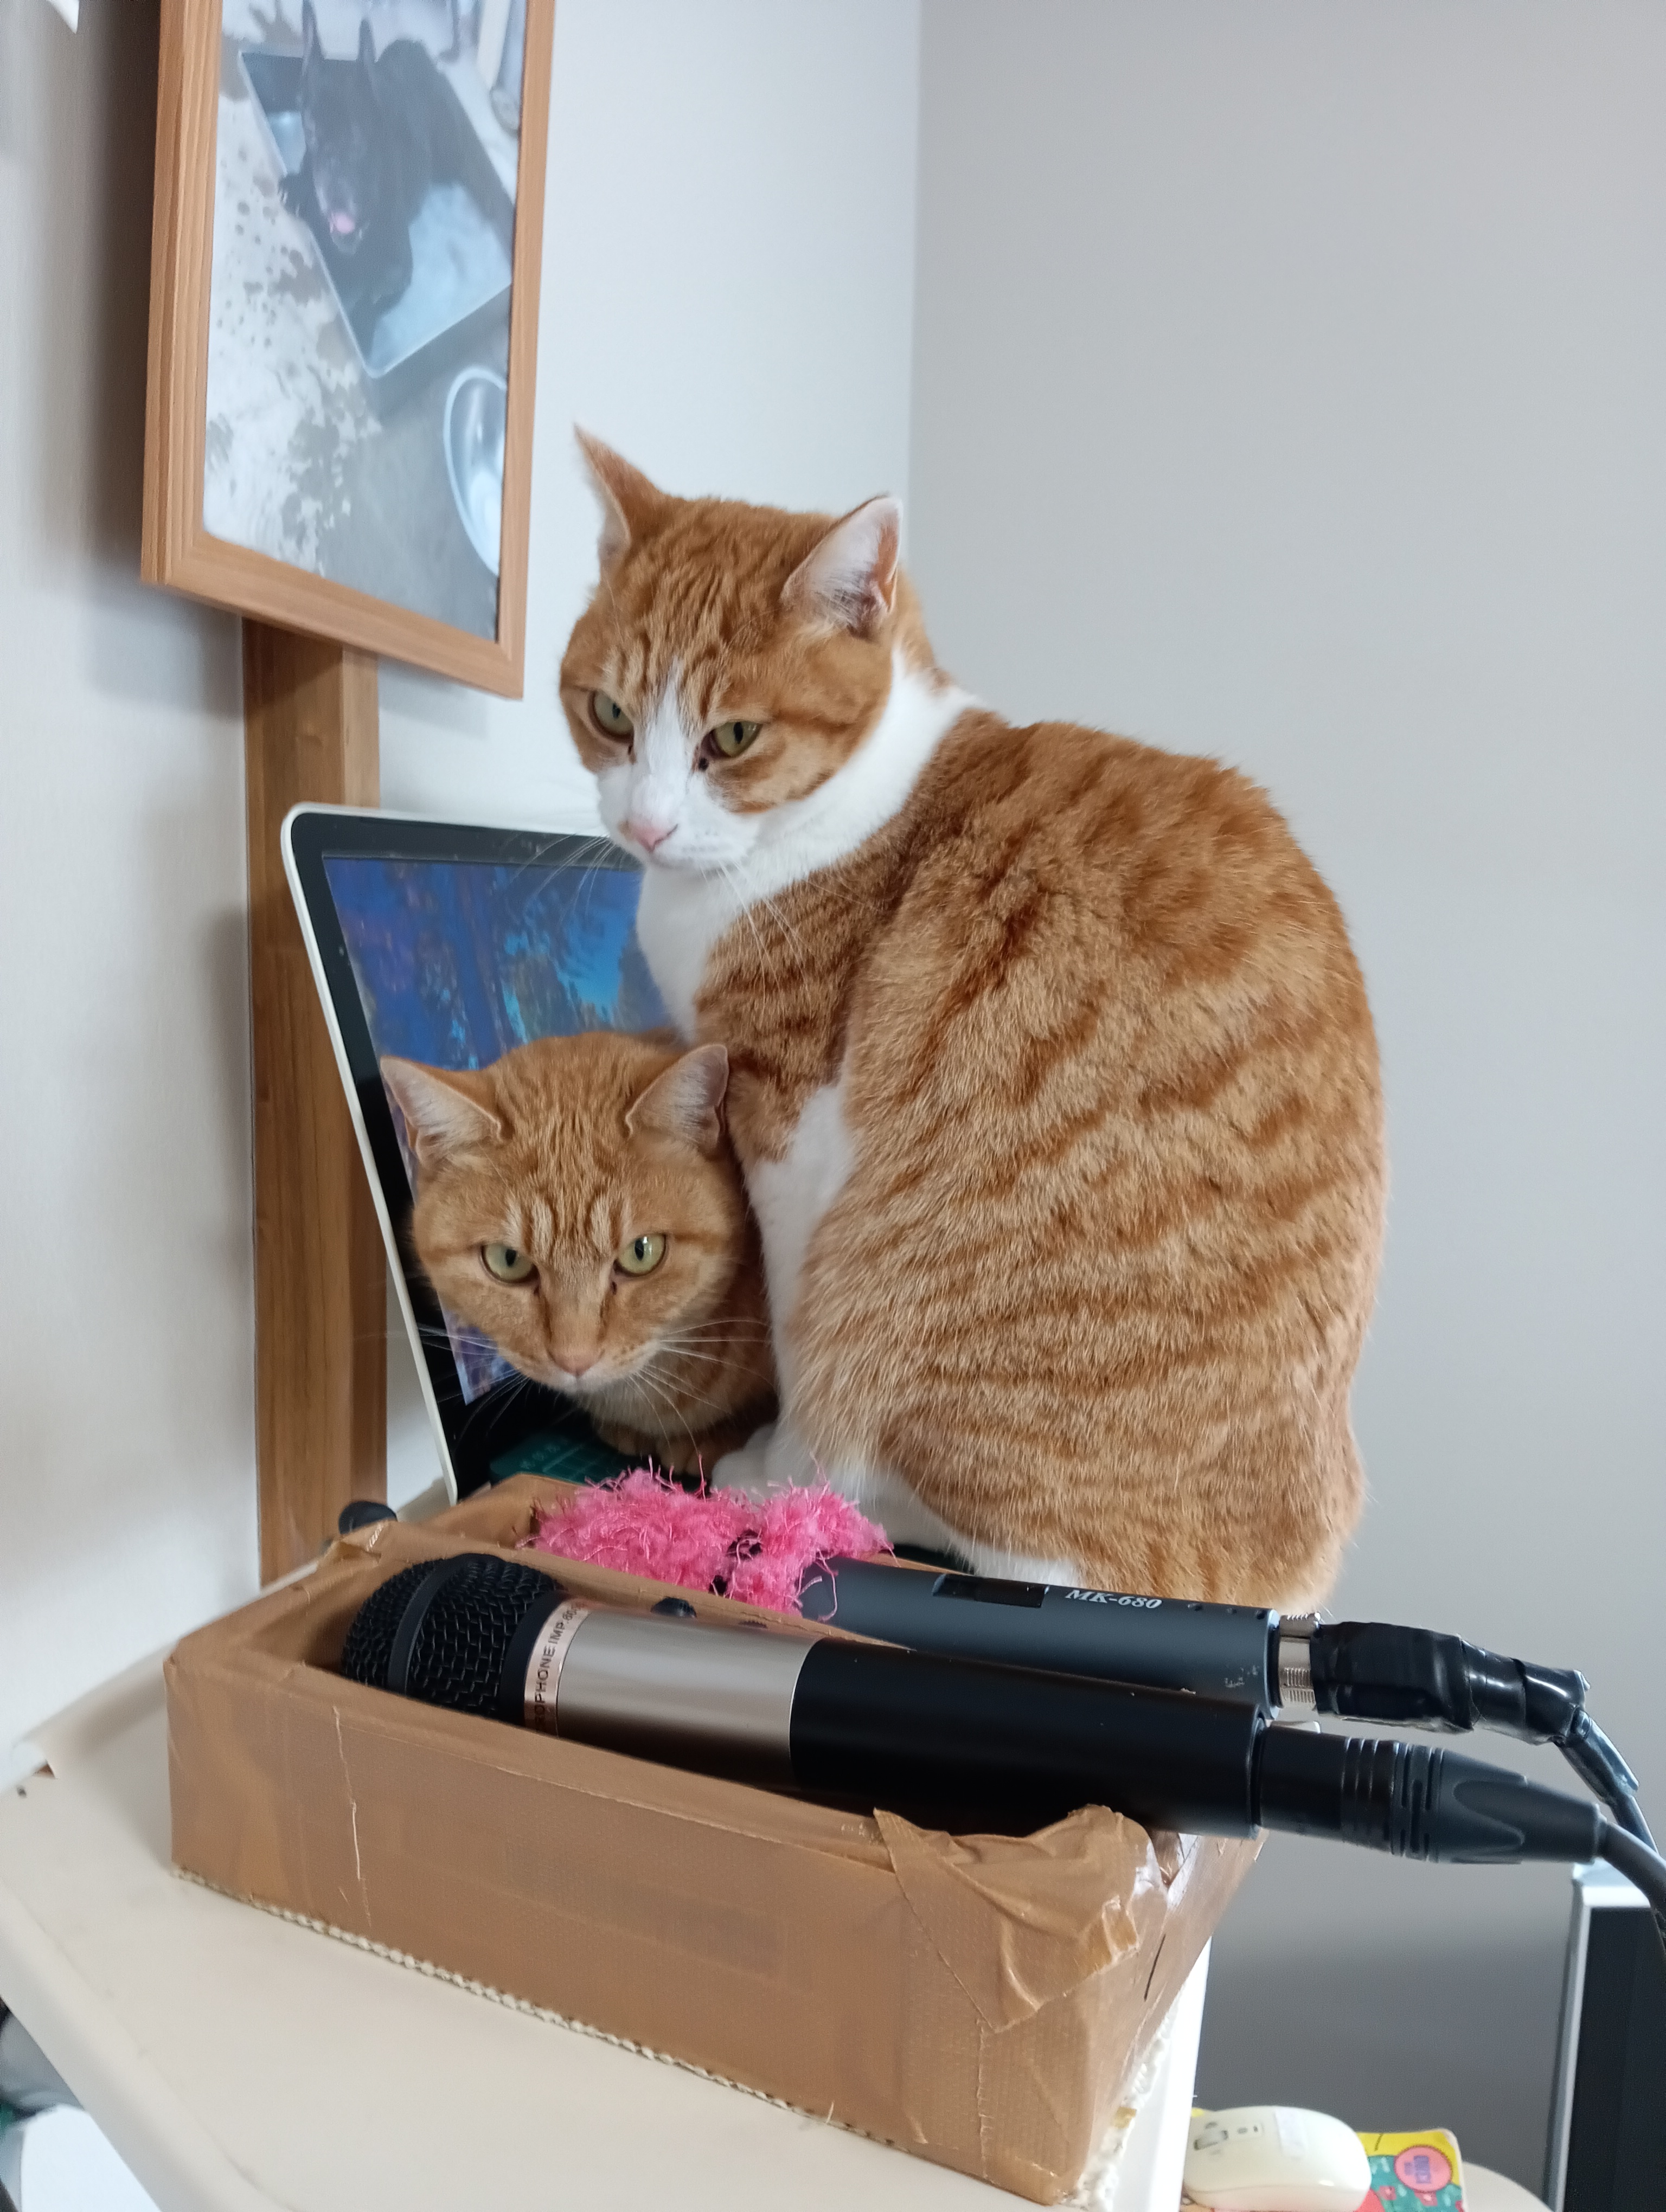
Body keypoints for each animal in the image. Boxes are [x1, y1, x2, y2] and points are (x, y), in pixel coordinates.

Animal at [279, 3, 514, 327]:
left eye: (360, 137)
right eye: (311, 130)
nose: (335, 185)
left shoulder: (397, 270)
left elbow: (369, 302)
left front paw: (360, 325)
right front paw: (298, 185)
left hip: (455, 152)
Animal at [557, 435, 1387, 1607]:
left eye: (734, 738)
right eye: (611, 716)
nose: (646, 826)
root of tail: (1282, 1590)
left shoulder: (790, 1130)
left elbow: (795, 1332)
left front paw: (777, 1478)